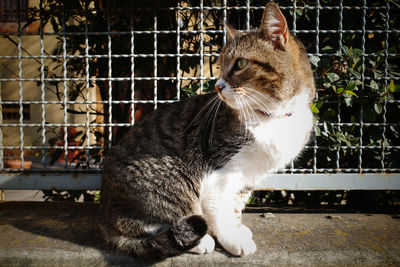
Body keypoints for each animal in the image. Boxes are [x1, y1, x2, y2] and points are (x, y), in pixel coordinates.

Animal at [101, 2, 316, 260]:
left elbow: (236, 204)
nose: (218, 86)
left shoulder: (250, 174)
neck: (270, 117)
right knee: (145, 224)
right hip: (172, 175)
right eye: (221, 65)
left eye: (240, 63)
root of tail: (105, 213)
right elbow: (219, 207)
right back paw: (198, 241)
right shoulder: (220, 169)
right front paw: (232, 238)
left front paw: (237, 228)